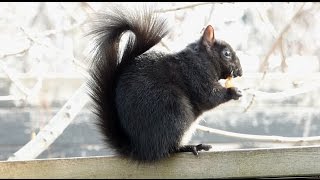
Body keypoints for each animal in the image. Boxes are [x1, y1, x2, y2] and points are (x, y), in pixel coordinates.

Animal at [87, 7, 242, 162]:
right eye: (227, 53)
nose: (240, 71)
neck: (202, 58)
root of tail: (141, 149)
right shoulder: (195, 74)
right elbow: (209, 97)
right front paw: (234, 91)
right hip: (174, 111)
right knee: (169, 149)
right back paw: (192, 147)